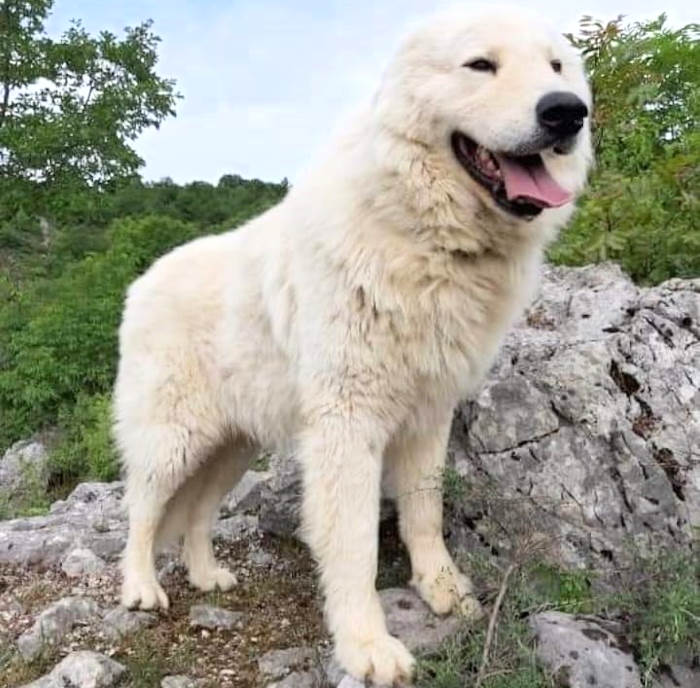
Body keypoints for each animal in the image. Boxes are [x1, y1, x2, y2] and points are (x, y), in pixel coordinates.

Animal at [115, 5, 592, 684]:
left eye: (556, 67)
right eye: (481, 64)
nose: (567, 112)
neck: (427, 237)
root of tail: (141, 282)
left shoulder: (429, 416)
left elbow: (424, 512)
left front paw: (441, 588)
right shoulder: (347, 425)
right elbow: (355, 544)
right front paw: (367, 645)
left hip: (233, 446)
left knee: (197, 514)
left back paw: (208, 576)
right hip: (174, 440)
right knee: (142, 510)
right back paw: (139, 588)